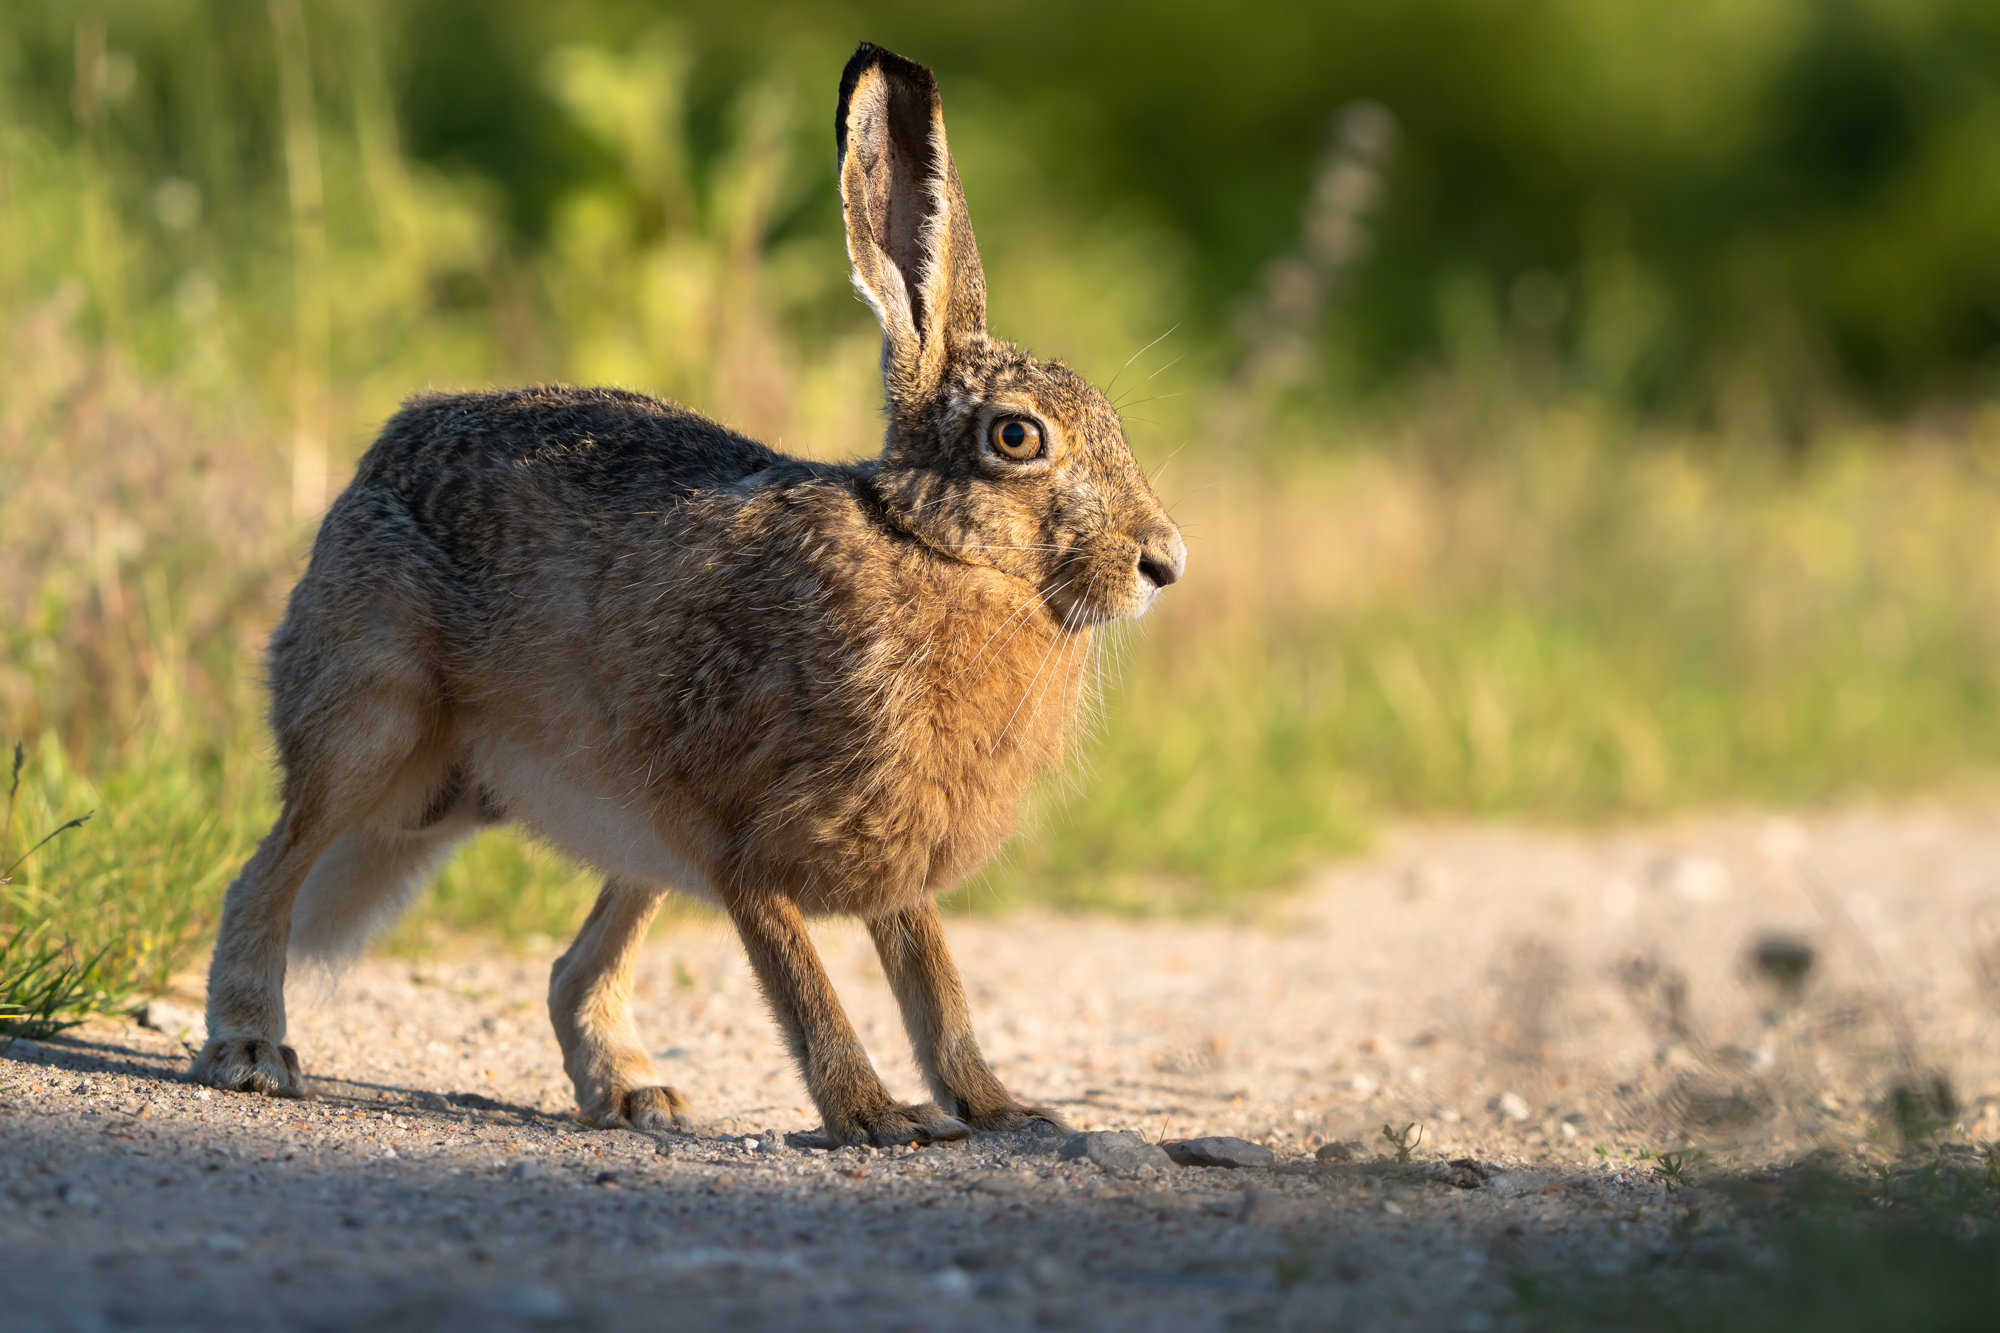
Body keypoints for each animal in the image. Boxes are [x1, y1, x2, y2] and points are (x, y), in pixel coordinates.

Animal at [187, 41, 1186, 1146]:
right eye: (1016, 436)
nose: (1163, 563)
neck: (924, 548)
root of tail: (371, 467)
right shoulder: (738, 828)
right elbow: (805, 983)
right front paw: (874, 1116)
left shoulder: (887, 851)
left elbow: (936, 985)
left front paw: (1002, 1109)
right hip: (376, 722)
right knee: (267, 872)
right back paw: (250, 1049)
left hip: (610, 831)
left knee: (575, 966)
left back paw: (633, 1091)